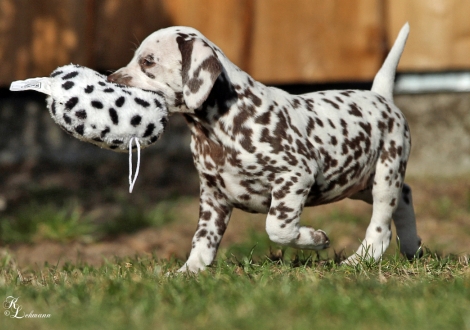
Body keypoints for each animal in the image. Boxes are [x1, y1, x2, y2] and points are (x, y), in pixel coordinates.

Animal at [109, 22, 422, 270]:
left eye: (148, 62)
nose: (110, 79)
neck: (221, 125)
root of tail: (381, 96)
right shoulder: (212, 195)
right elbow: (203, 240)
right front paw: (189, 272)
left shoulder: (295, 176)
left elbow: (278, 227)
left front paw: (315, 239)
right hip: (357, 183)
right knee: (405, 197)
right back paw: (412, 247)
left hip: (384, 176)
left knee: (381, 227)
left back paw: (359, 261)